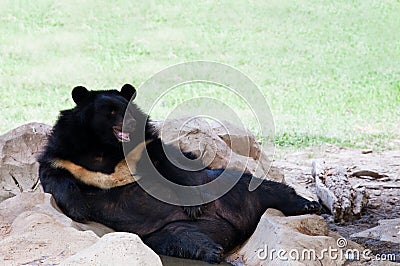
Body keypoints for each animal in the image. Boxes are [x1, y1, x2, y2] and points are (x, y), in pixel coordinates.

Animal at [39, 85, 320, 264]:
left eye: (128, 111)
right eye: (110, 112)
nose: (130, 124)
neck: (104, 147)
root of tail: (232, 226)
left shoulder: (143, 146)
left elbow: (172, 162)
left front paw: (193, 204)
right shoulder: (66, 154)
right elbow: (56, 177)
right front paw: (79, 209)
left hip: (229, 188)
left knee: (265, 188)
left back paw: (309, 204)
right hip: (167, 230)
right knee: (186, 241)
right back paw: (213, 252)